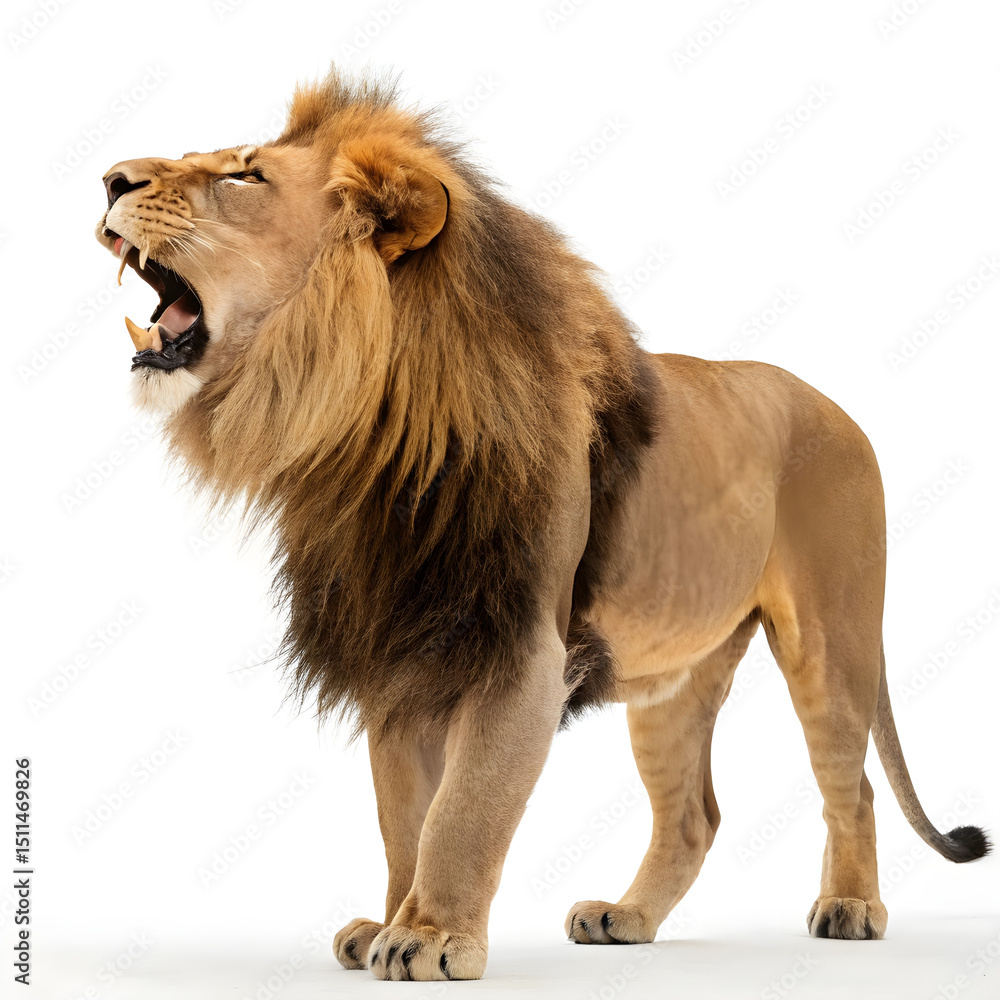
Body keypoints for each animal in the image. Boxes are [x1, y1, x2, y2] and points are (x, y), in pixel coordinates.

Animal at [95, 69, 989, 981]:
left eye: (245, 175)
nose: (110, 179)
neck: (365, 434)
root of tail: (839, 406)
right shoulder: (402, 655)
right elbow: (403, 818)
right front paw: (389, 922)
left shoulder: (521, 650)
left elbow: (464, 811)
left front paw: (431, 936)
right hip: (674, 675)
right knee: (693, 816)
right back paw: (626, 917)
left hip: (831, 641)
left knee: (854, 785)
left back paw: (851, 907)